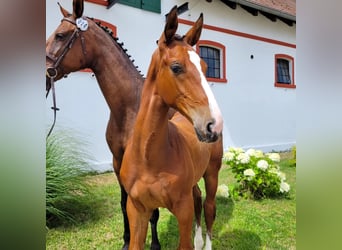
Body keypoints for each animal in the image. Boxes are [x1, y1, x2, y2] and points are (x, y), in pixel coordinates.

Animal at [45, 0, 160, 249]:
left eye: (60, 35)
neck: (130, 108)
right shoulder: (118, 163)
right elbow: (124, 203)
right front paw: (127, 241)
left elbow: (152, 209)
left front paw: (155, 244)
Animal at [121, 6, 224, 250]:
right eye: (176, 67)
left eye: (206, 67)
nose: (214, 124)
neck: (148, 158)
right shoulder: (137, 209)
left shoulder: (182, 211)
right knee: (198, 196)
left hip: (212, 173)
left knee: (209, 207)